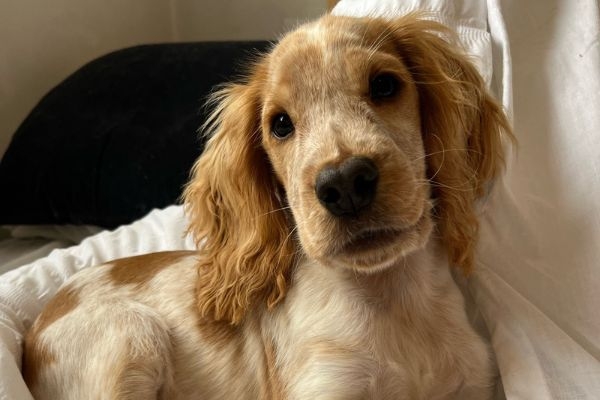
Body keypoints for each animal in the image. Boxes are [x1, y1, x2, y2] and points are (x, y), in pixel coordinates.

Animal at [23, 14, 510, 398]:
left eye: (385, 85)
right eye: (280, 124)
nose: (344, 183)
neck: (391, 298)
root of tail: (30, 335)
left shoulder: (474, 383)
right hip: (130, 337)